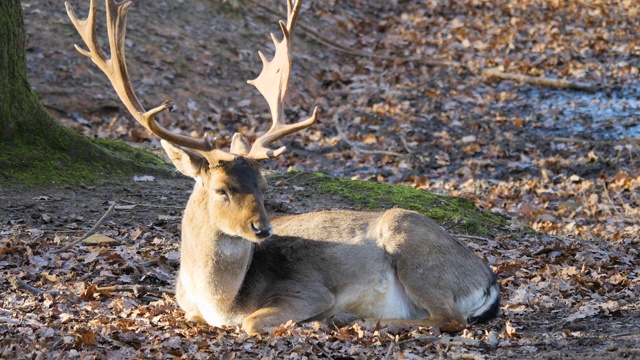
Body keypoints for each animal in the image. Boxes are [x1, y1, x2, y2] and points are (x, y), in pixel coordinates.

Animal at [67, 0, 502, 334]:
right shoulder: (187, 306)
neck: (219, 301)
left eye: (263, 185)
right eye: (221, 189)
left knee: (449, 318)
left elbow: (251, 322)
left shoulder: (308, 290)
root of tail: (488, 280)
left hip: (411, 244)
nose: (263, 228)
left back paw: (355, 319)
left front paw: (315, 319)